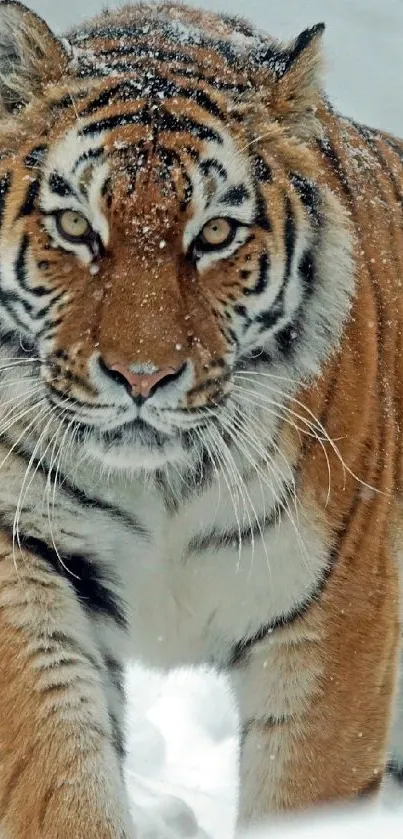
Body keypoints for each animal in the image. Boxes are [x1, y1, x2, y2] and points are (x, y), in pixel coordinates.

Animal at [0, 0, 403, 832]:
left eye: (214, 233)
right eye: (76, 227)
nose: (141, 377)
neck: (160, 483)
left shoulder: (337, 612)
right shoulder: (25, 555)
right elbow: (55, 770)